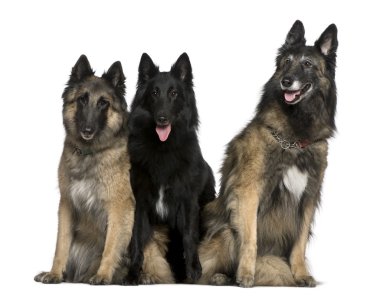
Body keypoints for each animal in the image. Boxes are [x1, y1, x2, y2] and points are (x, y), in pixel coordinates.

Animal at [127, 52, 215, 282]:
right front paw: (132, 274)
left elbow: (189, 238)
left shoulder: (188, 202)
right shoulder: (141, 201)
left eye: (174, 93)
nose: (162, 119)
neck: (163, 149)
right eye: (154, 92)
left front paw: (193, 272)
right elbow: (137, 237)